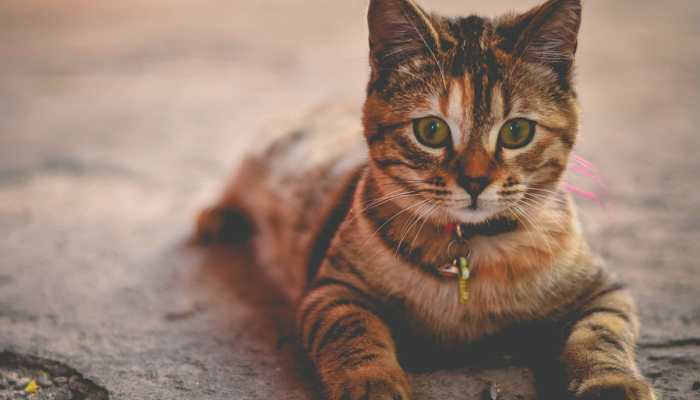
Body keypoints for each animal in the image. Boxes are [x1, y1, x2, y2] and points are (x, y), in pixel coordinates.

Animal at [196, 0, 656, 400]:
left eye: (517, 132)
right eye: (431, 131)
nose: (475, 181)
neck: (473, 252)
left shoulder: (603, 290)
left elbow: (601, 335)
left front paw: (612, 384)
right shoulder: (333, 290)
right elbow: (355, 333)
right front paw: (373, 383)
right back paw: (218, 218)